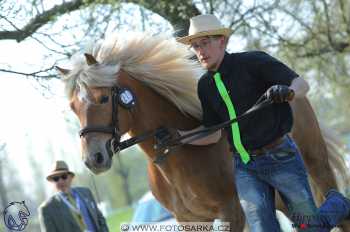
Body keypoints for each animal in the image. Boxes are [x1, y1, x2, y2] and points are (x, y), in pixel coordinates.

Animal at [58, 32, 350, 230]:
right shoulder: (189, 220)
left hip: (316, 170)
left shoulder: (232, 212)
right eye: (73, 106)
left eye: (103, 98)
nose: (93, 159)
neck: (177, 154)